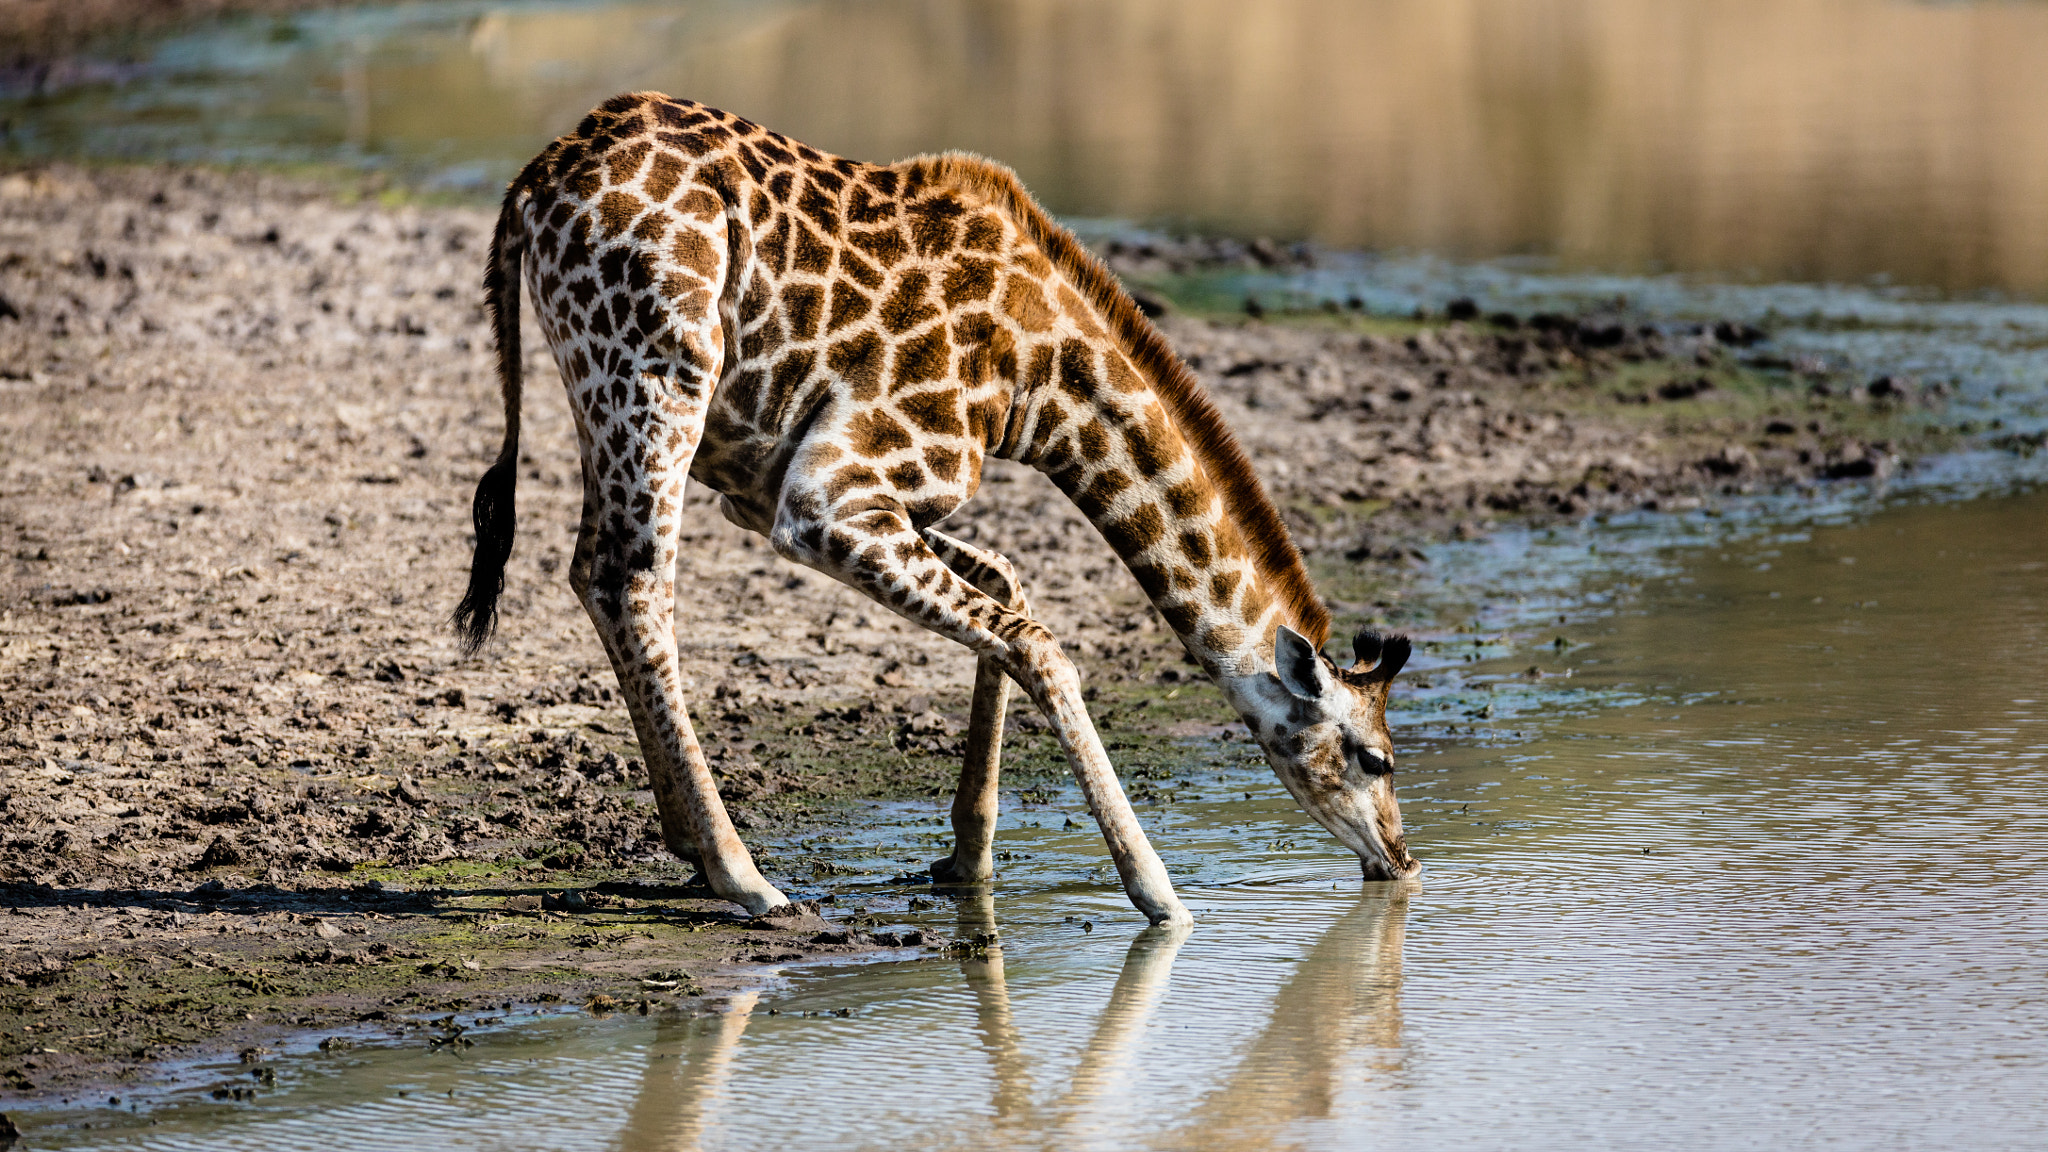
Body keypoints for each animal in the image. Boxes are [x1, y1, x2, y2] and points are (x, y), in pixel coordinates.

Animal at [450, 94, 1417, 926]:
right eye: (1374, 756)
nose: (1402, 859)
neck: (1042, 382)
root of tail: (537, 178)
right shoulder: (824, 496)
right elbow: (1040, 643)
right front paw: (1158, 894)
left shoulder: (764, 494)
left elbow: (1012, 590)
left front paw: (967, 858)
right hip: (662, 375)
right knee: (635, 580)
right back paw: (743, 874)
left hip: (611, 396)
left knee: (592, 569)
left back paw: (692, 844)